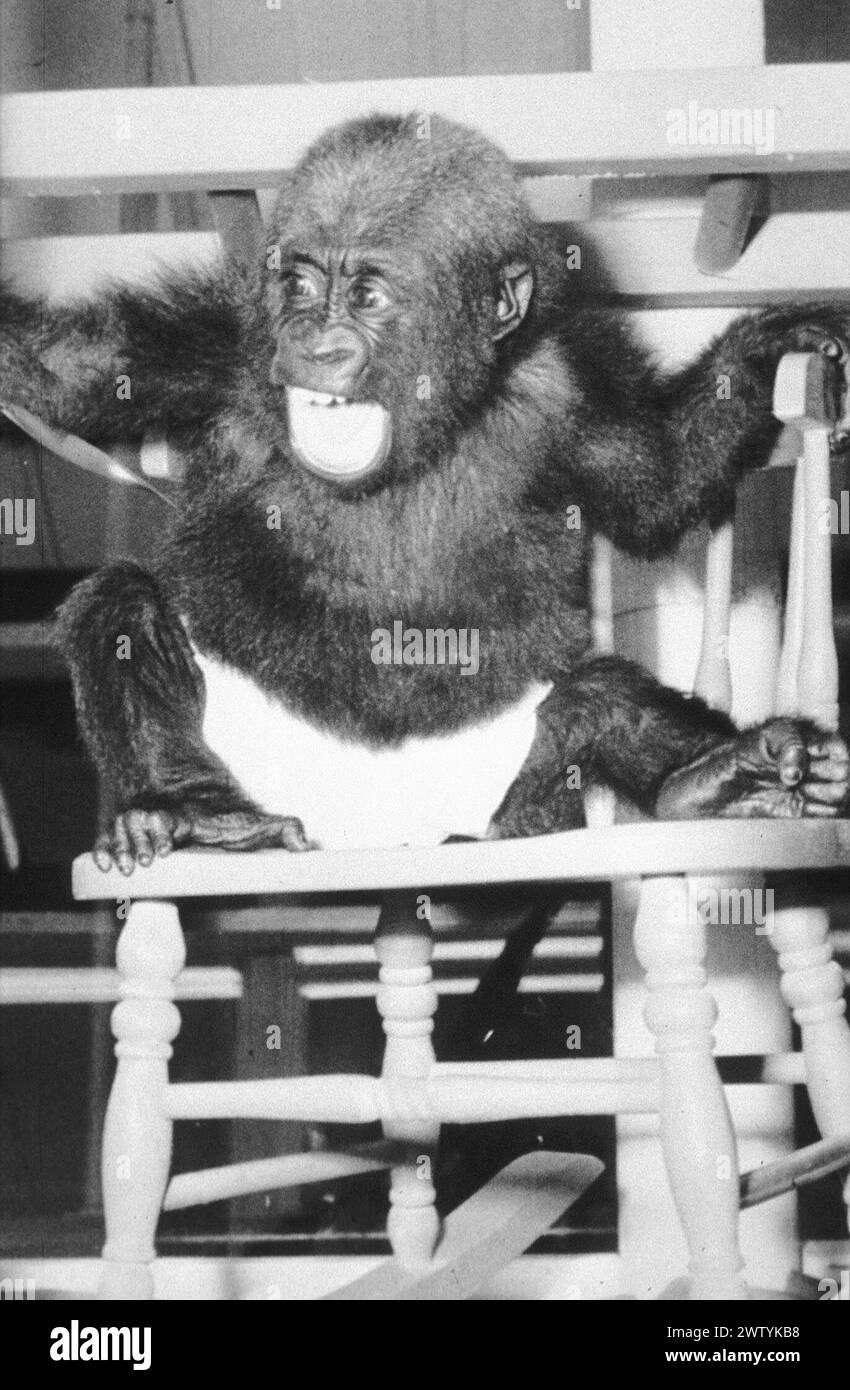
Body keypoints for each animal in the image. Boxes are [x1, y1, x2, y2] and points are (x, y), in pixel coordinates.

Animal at [0, 112, 847, 874]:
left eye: (368, 295)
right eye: (300, 284)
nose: (314, 341)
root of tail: (378, 845)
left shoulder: (572, 394)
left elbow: (659, 478)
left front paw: (766, 352)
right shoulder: (209, 348)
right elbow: (58, 369)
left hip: (514, 794)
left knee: (598, 697)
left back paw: (719, 776)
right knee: (122, 607)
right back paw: (189, 815)